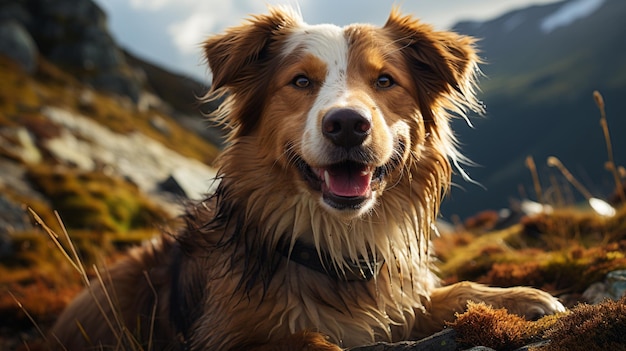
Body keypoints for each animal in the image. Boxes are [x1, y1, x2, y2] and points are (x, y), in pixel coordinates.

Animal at [51, 6, 564, 350]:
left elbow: (443, 294)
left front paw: (520, 298)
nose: (347, 124)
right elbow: (310, 340)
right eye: (300, 81)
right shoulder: (231, 335)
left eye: (385, 81)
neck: (335, 246)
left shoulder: (395, 301)